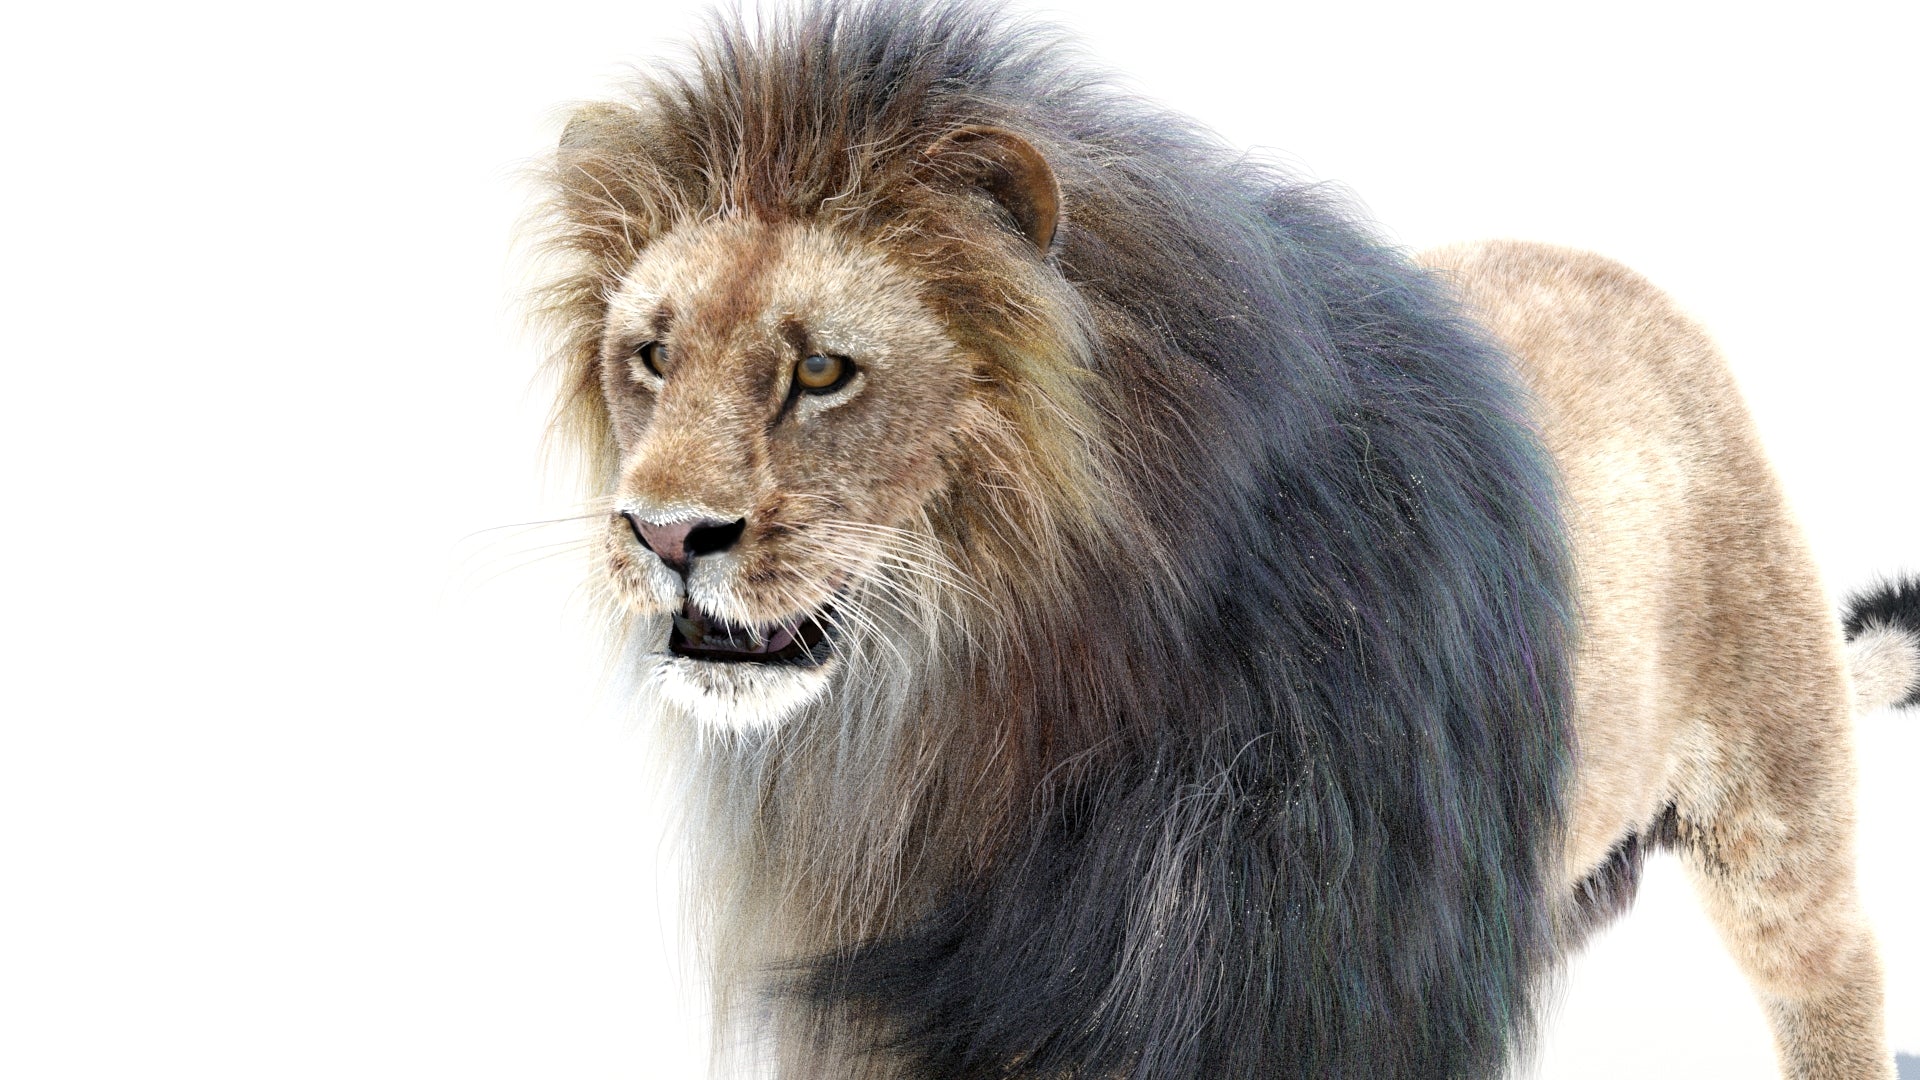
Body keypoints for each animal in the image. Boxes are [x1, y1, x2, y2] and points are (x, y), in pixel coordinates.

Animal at [531, 1, 1917, 1076]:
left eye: (821, 370)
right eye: (652, 355)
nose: (664, 533)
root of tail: (1644, 293)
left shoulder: (1325, 986)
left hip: (1772, 779)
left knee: (1832, 964)